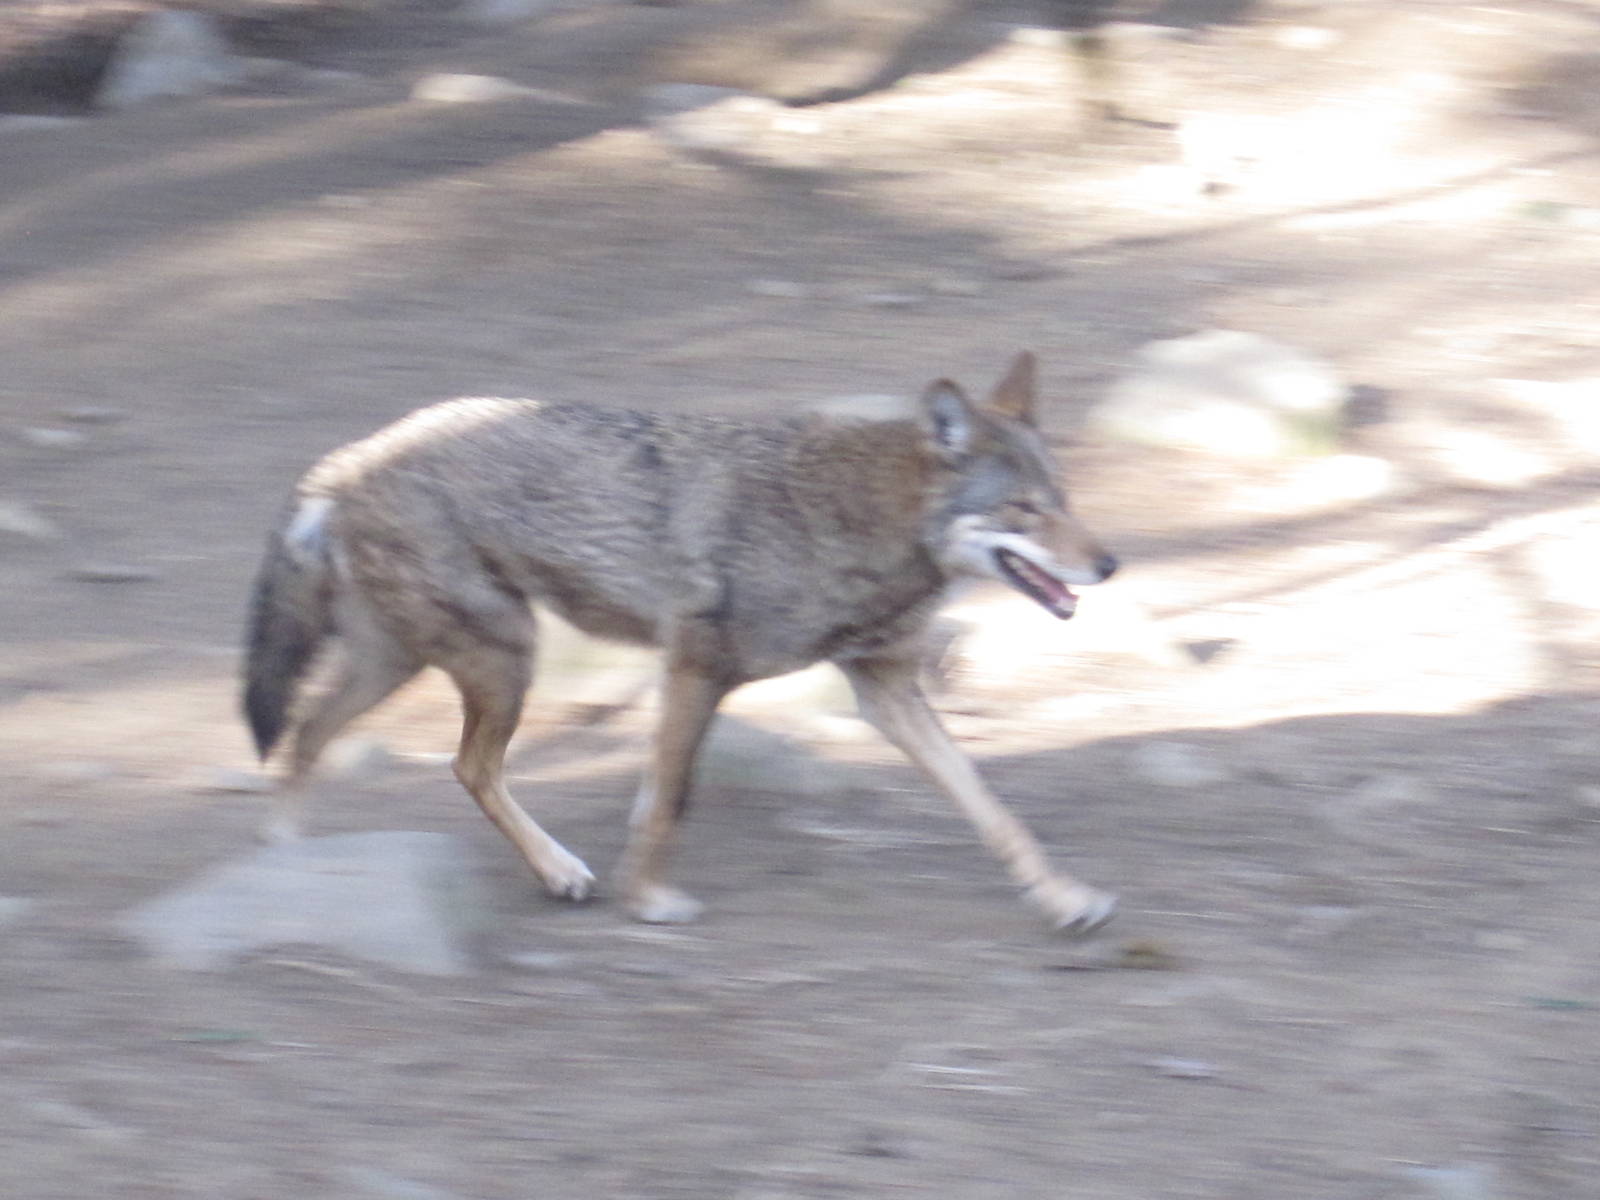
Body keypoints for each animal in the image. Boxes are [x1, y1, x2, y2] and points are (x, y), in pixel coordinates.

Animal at [243, 352, 1119, 931]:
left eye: (1064, 499)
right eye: (1025, 510)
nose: (1110, 563)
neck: (846, 521)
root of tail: (347, 460)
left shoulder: (887, 690)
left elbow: (992, 807)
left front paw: (1063, 897)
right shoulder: (696, 668)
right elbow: (668, 799)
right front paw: (649, 900)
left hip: (411, 660)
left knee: (309, 731)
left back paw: (288, 858)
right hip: (500, 660)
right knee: (461, 765)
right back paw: (553, 870)